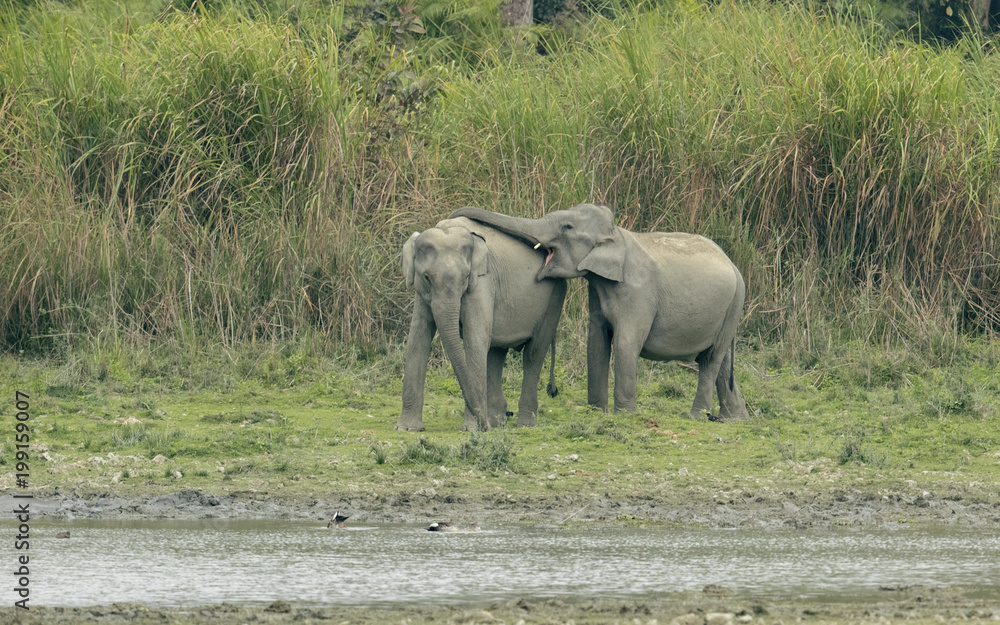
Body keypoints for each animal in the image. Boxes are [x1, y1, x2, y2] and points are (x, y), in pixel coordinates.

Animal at [398, 216, 567, 432]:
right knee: (496, 353)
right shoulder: (421, 291)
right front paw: (407, 428)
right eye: (427, 277)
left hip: (555, 297)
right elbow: (418, 339)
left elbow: (475, 340)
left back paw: (522, 424)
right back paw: (496, 422)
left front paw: (471, 429)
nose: (483, 426)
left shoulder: (482, 283)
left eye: (466, 277)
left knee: (533, 354)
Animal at [451, 204, 750, 421]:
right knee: (721, 361)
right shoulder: (598, 291)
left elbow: (626, 344)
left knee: (711, 360)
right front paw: (596, 411)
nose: (456, 216)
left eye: (567, 226)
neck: (617, 235)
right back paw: (735, 419)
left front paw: (625, 416)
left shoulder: (638, 294)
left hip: (734, 304)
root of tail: (734, 266)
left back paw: (697, 416)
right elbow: (596, 342)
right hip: (729, 310)